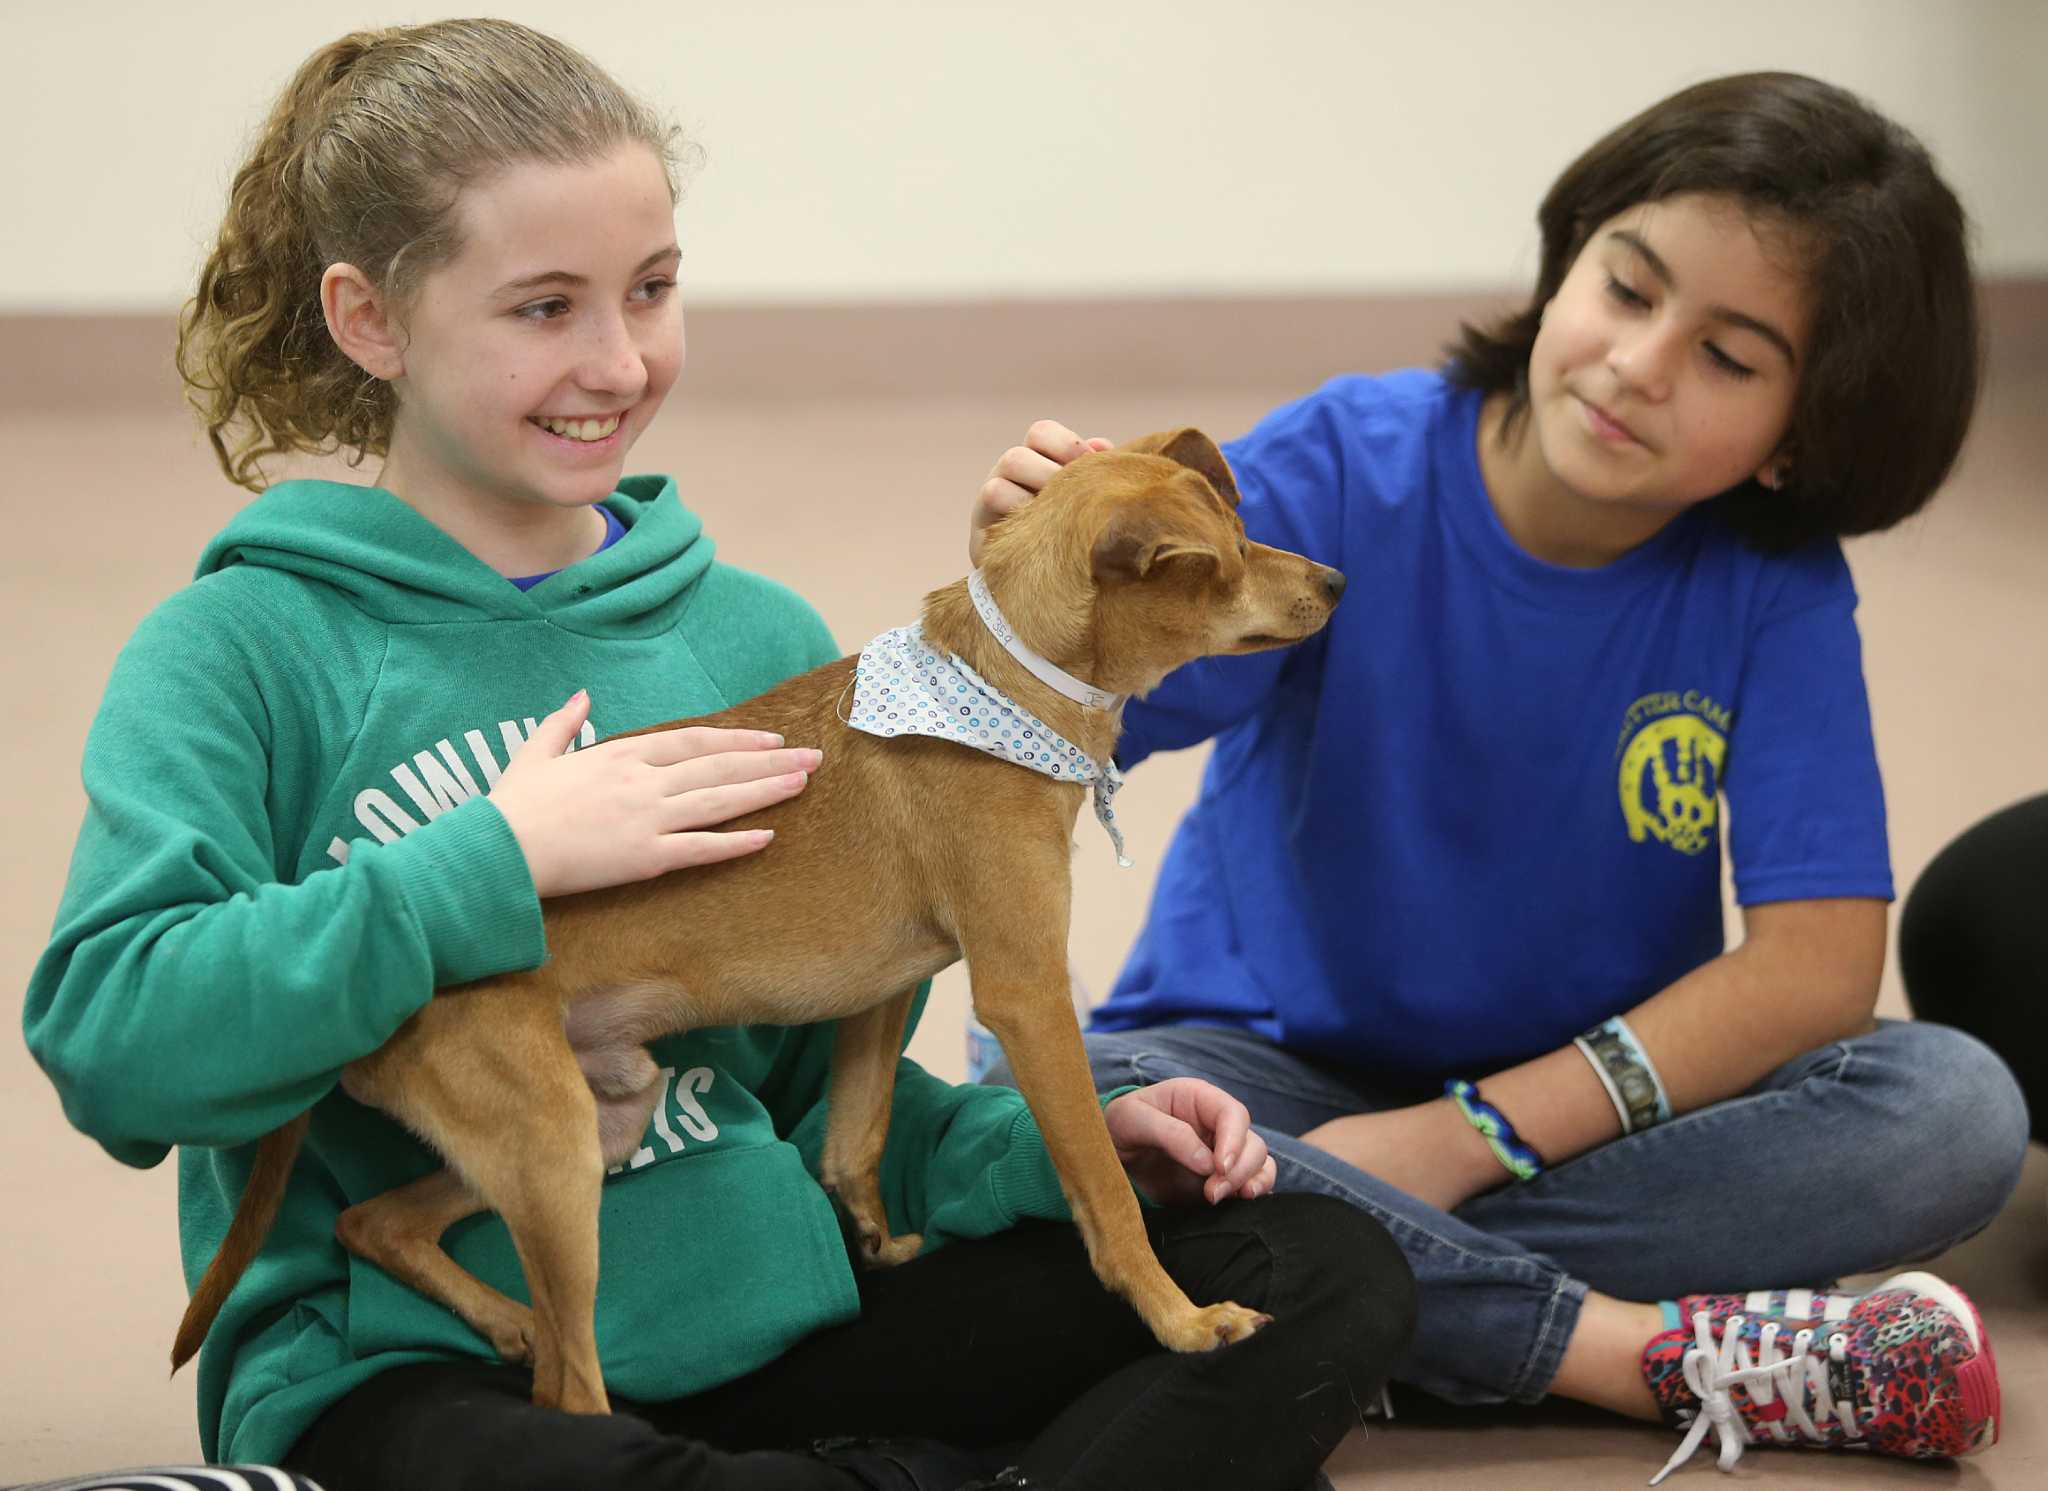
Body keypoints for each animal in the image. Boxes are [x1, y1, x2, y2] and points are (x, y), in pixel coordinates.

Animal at [172, 428, 1343, 1409]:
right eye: (1224, 558)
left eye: (1247, 525)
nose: (1335, 580)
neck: (1001, 691)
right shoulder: (1024, 993)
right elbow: (1106, 1189)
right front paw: (1180, 1320)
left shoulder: (886, 993)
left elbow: (852, 1143)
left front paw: (882, 1246)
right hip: (552, 1150)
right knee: (566, 1386)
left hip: (594, 1118)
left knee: (377, 1220)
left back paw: (506, 1321)